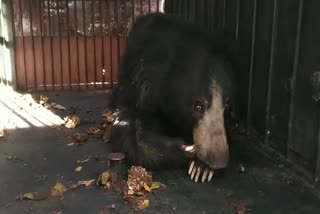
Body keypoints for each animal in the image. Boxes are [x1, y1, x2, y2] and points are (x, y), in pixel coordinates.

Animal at [107, 12, 238, 182]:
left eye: (227, 104)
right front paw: (187, 150)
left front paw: (202, 168)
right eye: (198, 106)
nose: (218, 161)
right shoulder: (139, 81)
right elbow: (128, 129)